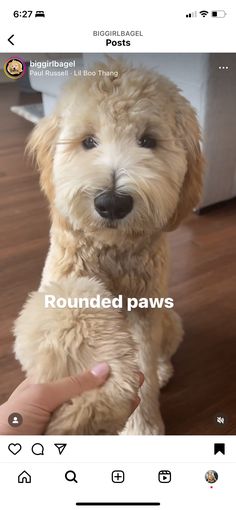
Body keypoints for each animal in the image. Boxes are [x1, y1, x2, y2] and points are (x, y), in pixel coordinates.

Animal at [13, 59, 204, 434]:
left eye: (148, 140)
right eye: (88, 141)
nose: (113, 203)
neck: (112, 249)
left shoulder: (144, 311)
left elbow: (143, 361)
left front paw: (142, 425)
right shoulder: (61, 287)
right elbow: (73, 318)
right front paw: (87, 408)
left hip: (169, 319)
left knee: (162, 352)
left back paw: (162, 371)